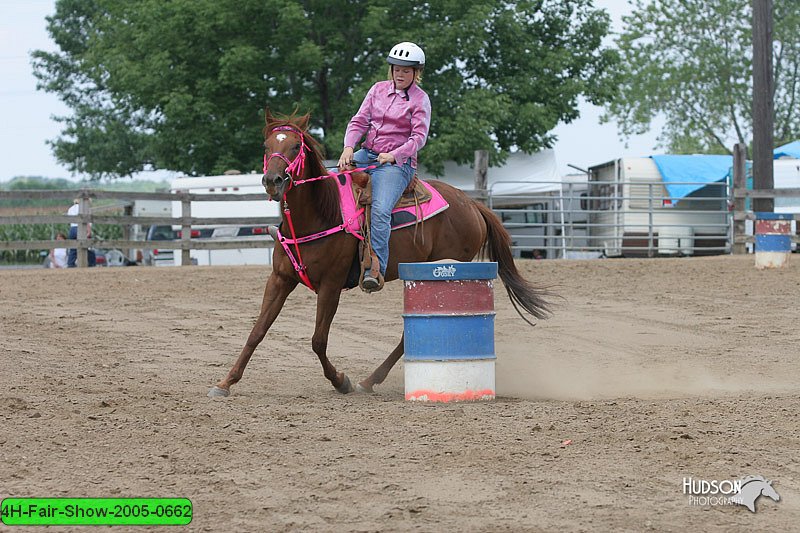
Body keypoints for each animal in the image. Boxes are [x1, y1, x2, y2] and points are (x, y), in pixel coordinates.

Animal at [209, 110, 552, 396]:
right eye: (267, 146)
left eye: (296, 146)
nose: (273, 181)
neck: (320, 214)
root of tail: (472, 204)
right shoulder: (279, 279)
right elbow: (257, 331)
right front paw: (226, 382)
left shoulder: (331, 285)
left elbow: (318, 340)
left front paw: (341, 381)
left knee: (406, 336)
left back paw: (367, 380)